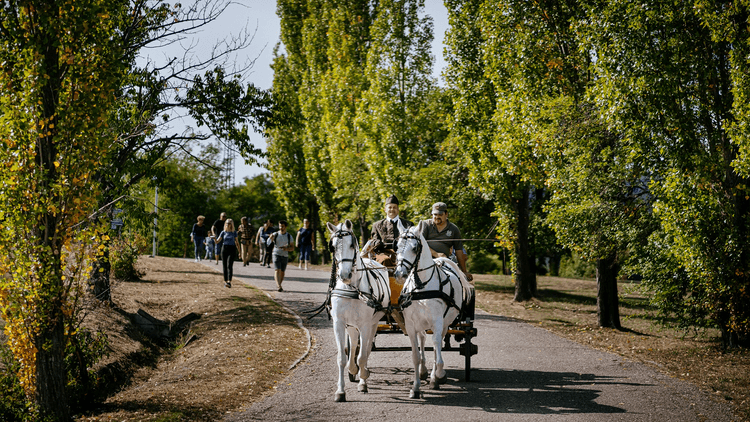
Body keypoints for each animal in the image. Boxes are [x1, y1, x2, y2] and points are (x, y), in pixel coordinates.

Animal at [326, 221, 390, 402]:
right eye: (333, 246)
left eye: (351, 244)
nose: (344, 275)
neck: (352, 289)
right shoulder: (339, 323)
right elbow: (342, 357)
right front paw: (340, 391)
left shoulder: (365, 324)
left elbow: (362, 355)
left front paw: (363, 380)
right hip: (351, 325)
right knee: (355, 343)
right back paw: (353, 368)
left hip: (373, 323)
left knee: (366, 348)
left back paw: (362, 374)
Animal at [396, 221, 472, 398]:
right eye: (396, 246)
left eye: (415, 248)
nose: (400, 274)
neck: (421, 287)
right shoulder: (410, 325)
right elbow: (415, 355)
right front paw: (416, 387)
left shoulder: (437, 322)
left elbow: (437, 349)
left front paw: (438, 375)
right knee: (424, 339)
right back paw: (424, 371)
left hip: (444, 323)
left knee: (438, 344)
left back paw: (434, 376)